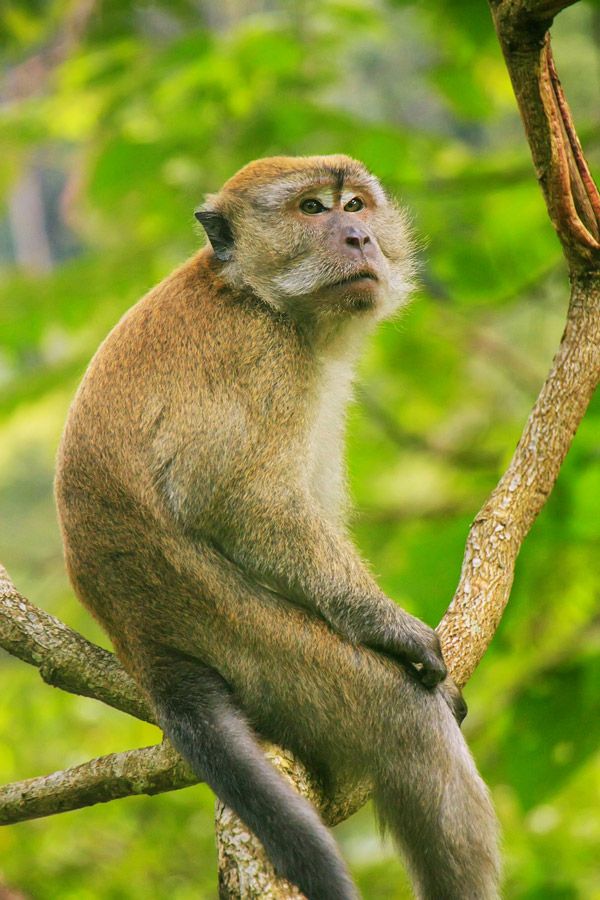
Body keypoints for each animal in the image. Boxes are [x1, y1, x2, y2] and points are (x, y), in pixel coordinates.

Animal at [55, 155, 500, 900]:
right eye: (312, 209)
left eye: (355, 204)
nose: (357, 236)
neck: (255, 295)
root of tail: (143, 641)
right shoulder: (260, 358)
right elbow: (237, 501)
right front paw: (391, 629)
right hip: (253, 643)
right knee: (405, 720)